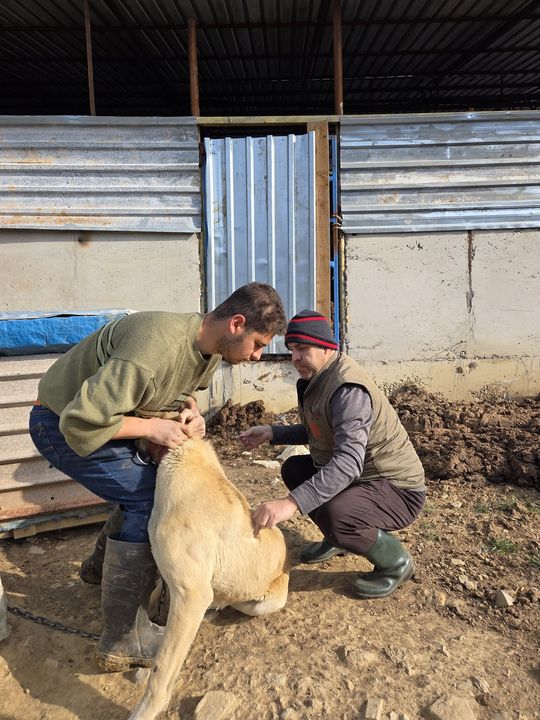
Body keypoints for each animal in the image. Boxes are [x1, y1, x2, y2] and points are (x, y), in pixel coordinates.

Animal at [129, 434, 288, 720]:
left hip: (262, 602)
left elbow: (160, 672)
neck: (182, 452)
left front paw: (145, 711)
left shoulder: (191, 595)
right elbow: (155, 587)